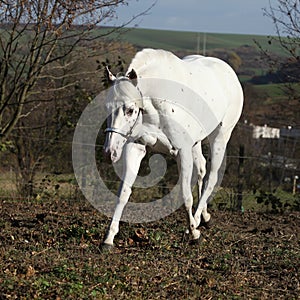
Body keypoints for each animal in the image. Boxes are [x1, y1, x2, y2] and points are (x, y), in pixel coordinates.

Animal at [103, 48, 244, 247]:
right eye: (106, 108)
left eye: (130, 110)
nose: (110, 153)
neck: (159, 103)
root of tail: (229, 73)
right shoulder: (136, 147)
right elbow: (123, 192)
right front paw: (109, 238)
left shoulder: (182, 152)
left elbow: (185, 195)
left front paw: (194, 234)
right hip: (196, 143)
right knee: (202, 170)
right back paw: (203, 218)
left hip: (220, 137)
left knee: (211, 177)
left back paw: (196, 222)